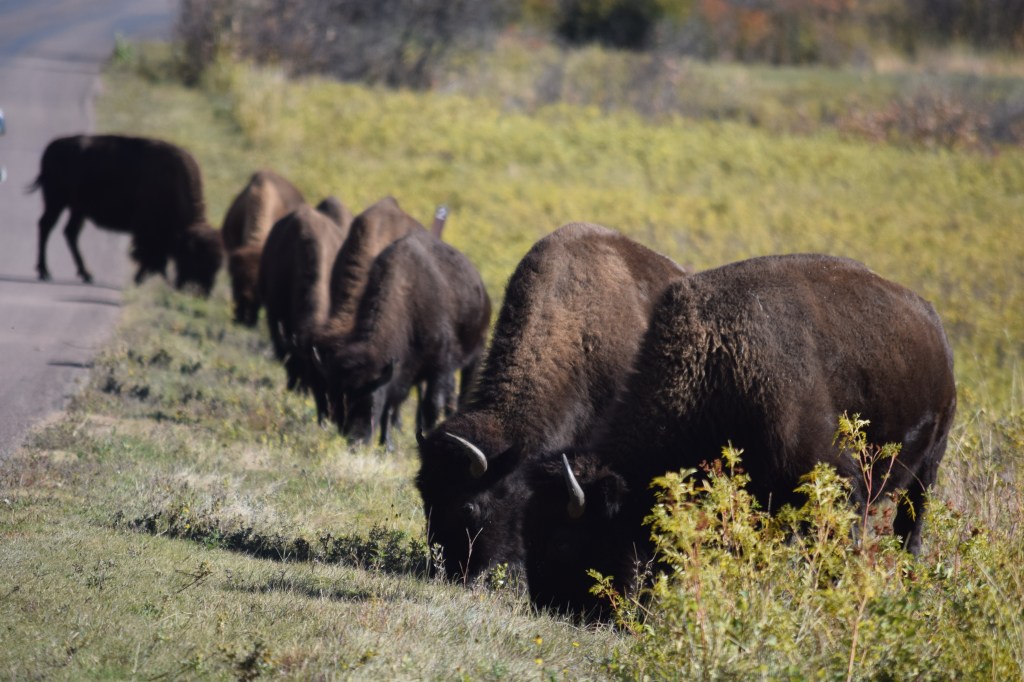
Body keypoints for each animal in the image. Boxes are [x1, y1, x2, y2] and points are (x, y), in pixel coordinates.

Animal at [30, 134, 222, 295]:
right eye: (197, 258)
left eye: (218, 263)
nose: (205, 292)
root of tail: (53, 146)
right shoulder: (147, 231)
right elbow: (148, 256)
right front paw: (139, 280)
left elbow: (155, 259)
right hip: (56, 201)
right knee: (46, 226)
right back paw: (45, 271)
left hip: (77, 209)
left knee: (70, 232)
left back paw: (86, 274)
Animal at [314, 230, 491, 449]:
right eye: (337, 401)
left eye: (370, 402)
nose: (356, 441)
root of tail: (480, 286)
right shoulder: (400, 373)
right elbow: (392, 405)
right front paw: (387, 444)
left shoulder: (440, 367)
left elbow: (431, 405)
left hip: (476, 353)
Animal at [521, 253, 957, 617]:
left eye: (563, 540)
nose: (549, 607)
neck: (716, 362)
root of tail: (934, 324)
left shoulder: (836, 485)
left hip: (928, 468)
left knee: (911, 527)